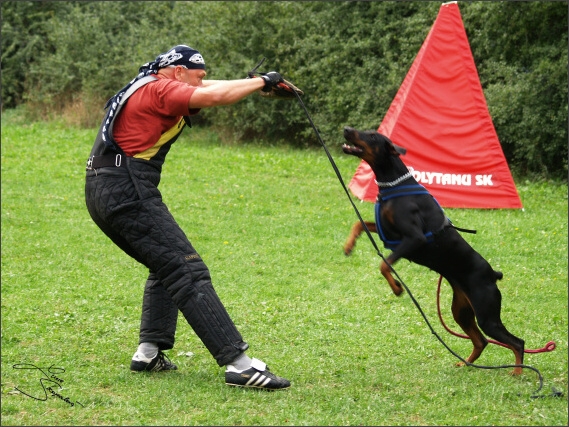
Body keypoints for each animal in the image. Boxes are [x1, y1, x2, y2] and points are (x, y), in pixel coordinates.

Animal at [342, 126, 524, 374]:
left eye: (371, 135)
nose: (346, 129)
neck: (394, 183)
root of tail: (493, 274)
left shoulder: (413, 238)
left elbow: (384, 264)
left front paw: (397, 288)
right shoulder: (387, 233)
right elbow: (359, 225)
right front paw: (348, 246)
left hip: (487, 315)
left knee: (516, 342)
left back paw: (517, 372)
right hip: (461, 310)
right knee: (481, 341)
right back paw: (465, 363)